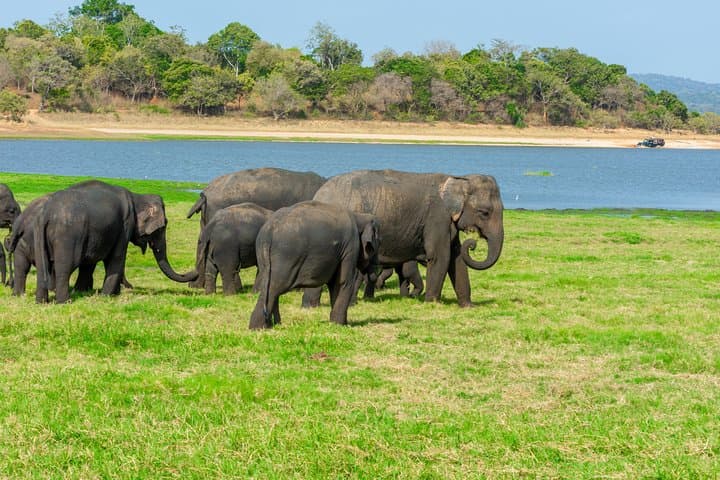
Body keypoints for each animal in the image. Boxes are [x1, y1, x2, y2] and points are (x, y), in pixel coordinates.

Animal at [32, 180, 197, 303]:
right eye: (162, 227)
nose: (195, 272)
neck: (136, 197)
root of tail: (47, 212)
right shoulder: (125, 225)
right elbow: (116, 257)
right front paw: (106, 296)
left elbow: (90, 262)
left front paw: (84, 291)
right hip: (68, 235)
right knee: (65, 266)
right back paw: (65, 302)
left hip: (39, 235)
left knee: (42, 266)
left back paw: (41, 302)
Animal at [250, 201, 379, 329]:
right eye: (375, 246)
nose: (374, 275)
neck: (359, 216)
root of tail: (269, 232)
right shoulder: (351, 246)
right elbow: (343, 282)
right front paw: (340, 325)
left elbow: (334, 284)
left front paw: (336, 324)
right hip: (285, 256)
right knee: (275, 286)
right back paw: (258, 328)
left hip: (262, 255)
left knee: (268, 286)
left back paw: (273, 324)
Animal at [306, 169, 504, 307]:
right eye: (485, 212)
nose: (472, 243)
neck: (459, 178)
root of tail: (319, 194)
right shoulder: (437, 218)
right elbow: (441, 257)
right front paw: (432, 303)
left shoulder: (447, 224)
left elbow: (457, 259)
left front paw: (468, 306)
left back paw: (312, 306)